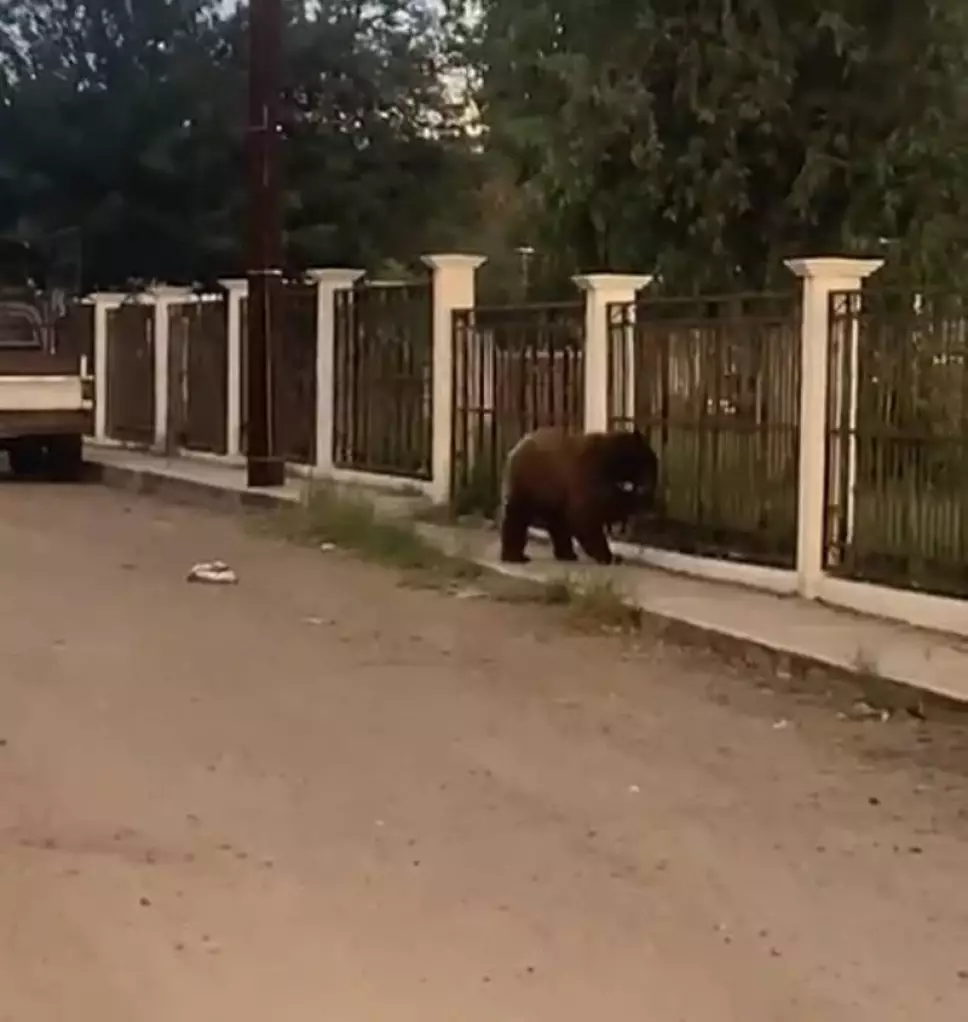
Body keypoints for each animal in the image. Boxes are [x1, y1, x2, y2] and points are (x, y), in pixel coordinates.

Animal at [498, 426, 659, 565]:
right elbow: (587, 517)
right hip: (528, 482)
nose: (649, 488)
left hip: (553, 492)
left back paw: (566, 554)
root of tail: (517, 447)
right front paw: (610, 556)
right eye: (648, 463)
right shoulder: (588, 475)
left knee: (558, 523)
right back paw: (515, 556)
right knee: (517, 516)